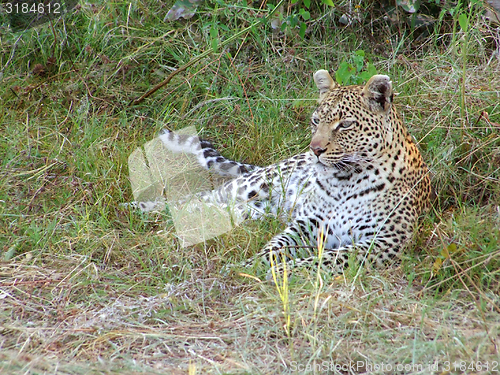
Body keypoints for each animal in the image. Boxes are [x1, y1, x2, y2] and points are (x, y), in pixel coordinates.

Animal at [140, 70, 430, 276]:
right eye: (316, 121)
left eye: (345, 124)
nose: (315, 149)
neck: (344, 181)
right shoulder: (309, 222)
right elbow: (277, 245)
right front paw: (255, 265)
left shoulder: (384, 241)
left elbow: (329, 259)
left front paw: (283, 271)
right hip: (253, 185)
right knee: (195, 199)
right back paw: (139, 209)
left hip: (253, 211)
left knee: (209, 210)